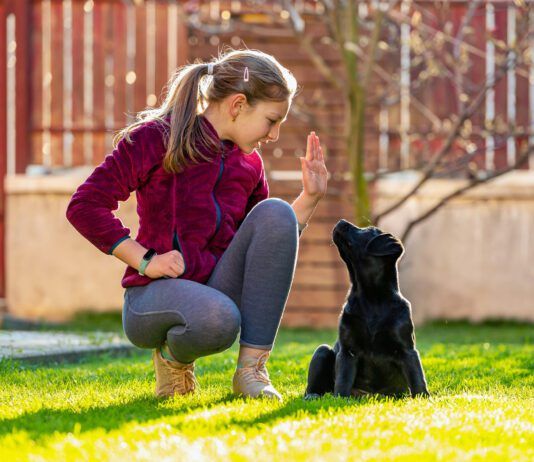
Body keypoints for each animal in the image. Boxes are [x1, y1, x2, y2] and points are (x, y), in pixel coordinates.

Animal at [306, 219, 432, 398]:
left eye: (367, 230)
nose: (341, 221)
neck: (372, 298)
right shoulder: (348, 350)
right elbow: (343, 379)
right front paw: (340, 399)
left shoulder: (407, 349)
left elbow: (417, 377)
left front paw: (423, 398)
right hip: (322, 352)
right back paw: (313, 396)